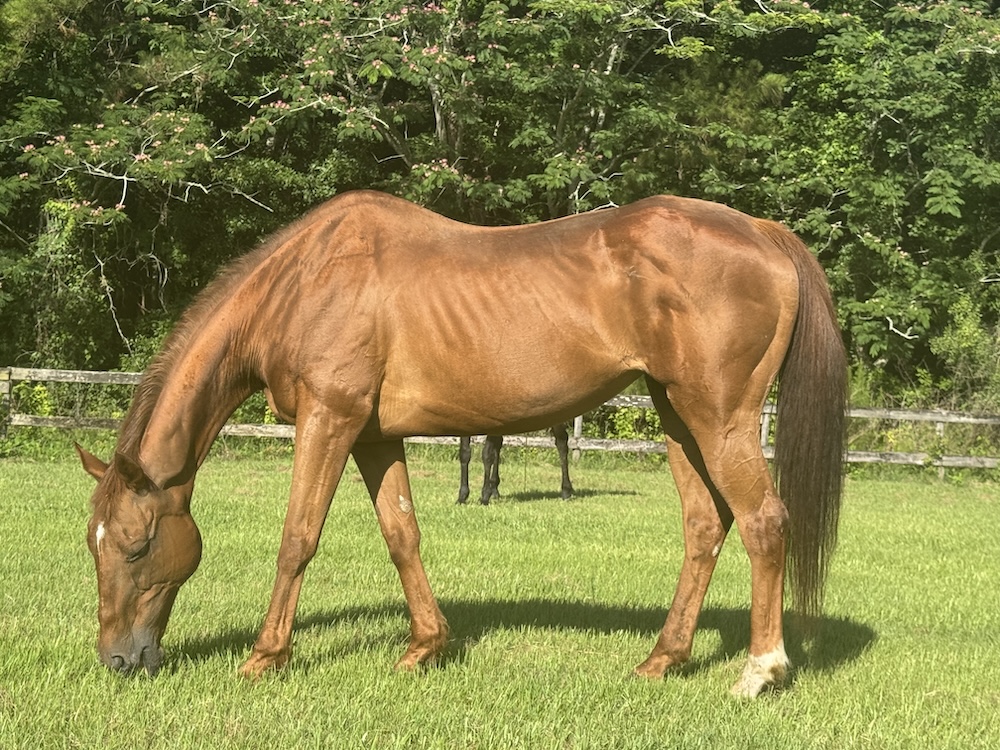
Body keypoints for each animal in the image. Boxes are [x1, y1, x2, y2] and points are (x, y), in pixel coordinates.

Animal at [76, 191, 846, 698]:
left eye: (136, 546)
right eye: (96, 543)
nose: (117, 659)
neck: (306, 280)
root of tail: (763, 230)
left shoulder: (329, 420)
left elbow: (298, 537)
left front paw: (265, 656)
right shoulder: (373, 437)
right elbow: (402, 536)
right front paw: (425, 646)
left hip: (718, 417)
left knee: (763, 522)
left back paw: (759, 671)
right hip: (676, 415)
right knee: (705, 526)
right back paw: (664, 658)